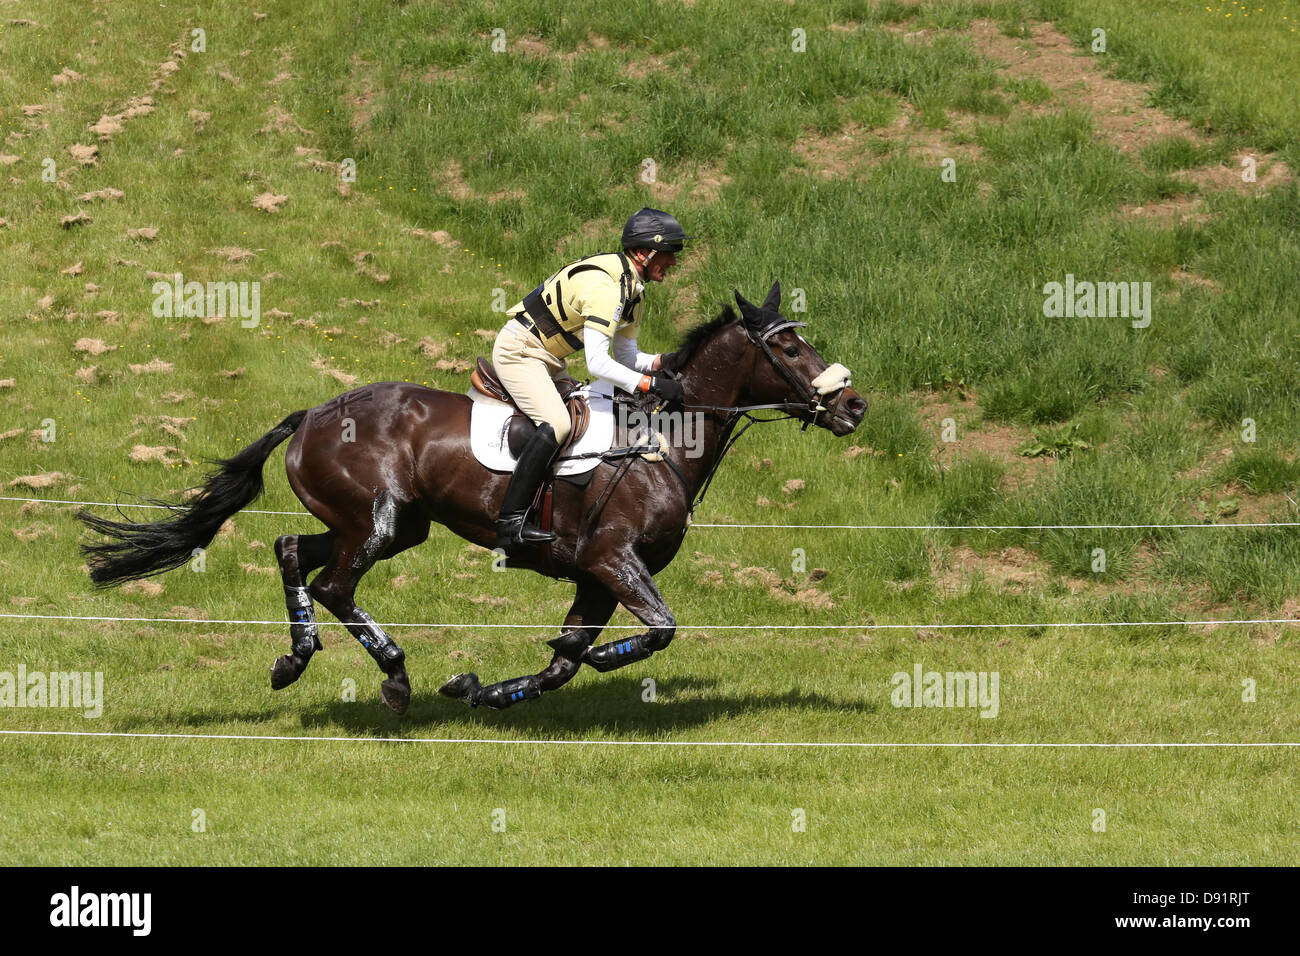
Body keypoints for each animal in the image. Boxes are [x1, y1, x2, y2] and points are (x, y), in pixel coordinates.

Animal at [78, 282, 866, 714]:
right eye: (788, 349)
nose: (854, 405)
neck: (663, 443)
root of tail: (311, 415)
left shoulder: (594, 578)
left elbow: (563, 662)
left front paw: (481, 690)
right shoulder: (613, 562)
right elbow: (654, 632)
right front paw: (588, 663)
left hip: (387, 523)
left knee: (291, 547)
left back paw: (294, 658)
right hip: (379, 521)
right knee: (334, 583)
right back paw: (395, 677)